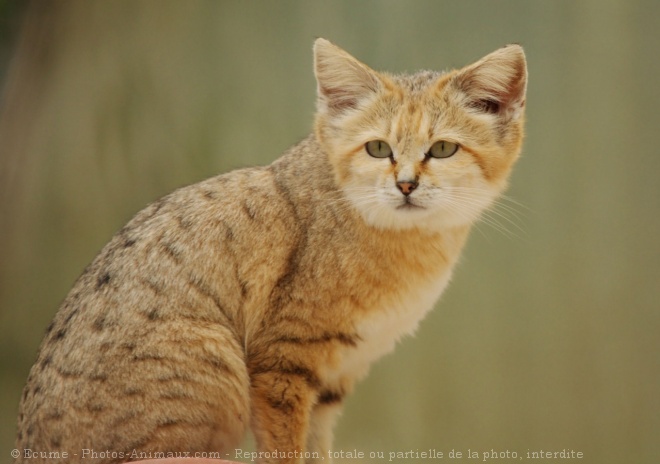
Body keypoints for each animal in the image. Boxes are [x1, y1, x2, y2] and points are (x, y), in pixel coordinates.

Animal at [15, 38, 528, 462]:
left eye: (441, 149)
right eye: (378, 149)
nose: (405, 185)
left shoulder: (332, 380)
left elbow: (316, 450)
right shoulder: (282, 362)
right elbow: (285, 450)